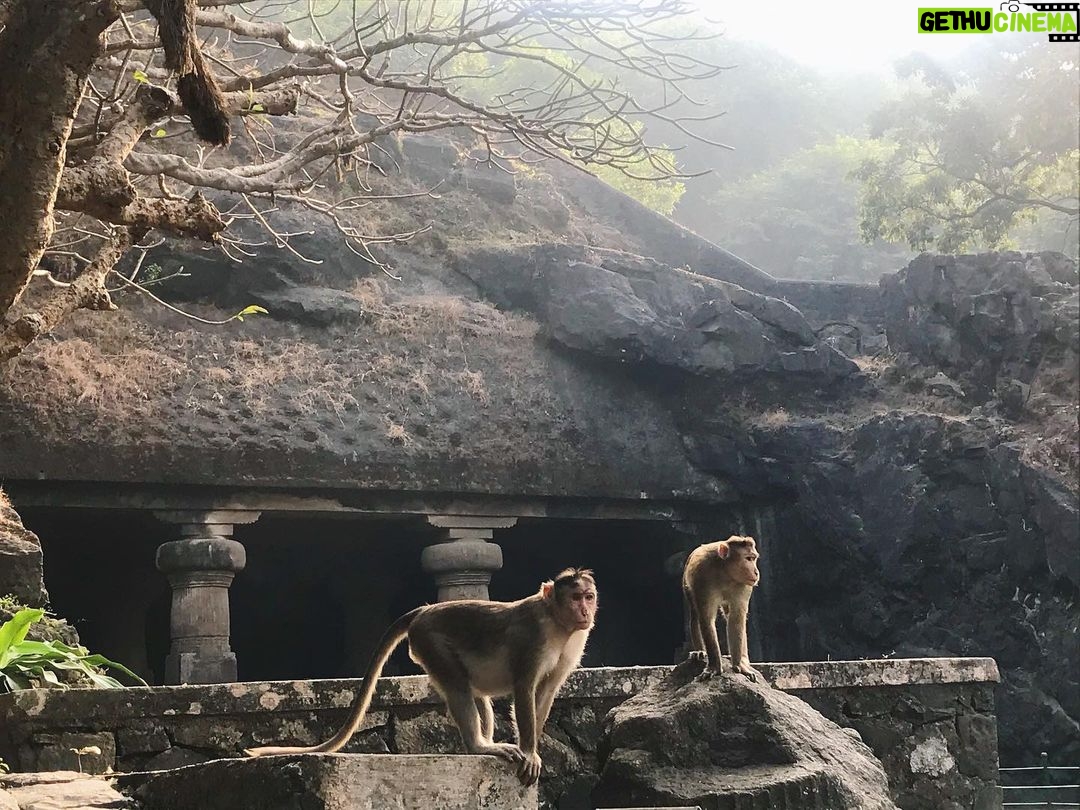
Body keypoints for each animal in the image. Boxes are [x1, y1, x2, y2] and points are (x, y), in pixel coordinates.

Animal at [245, 568, 598, 787]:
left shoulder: (574, 643)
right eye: (575, 597)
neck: (558, 623)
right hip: (431, 642)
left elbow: (546, 693)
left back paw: (485, 743)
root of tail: (423, 611)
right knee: (458, 688)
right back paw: (479, 747)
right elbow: (524, 687)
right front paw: (530, 751)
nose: (585, 612)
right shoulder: (533, 637)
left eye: (589, 596)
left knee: (474, 693)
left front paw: (532, 748)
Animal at [682, 535, 762, 680]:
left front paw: (740, 665)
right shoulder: (702, 577)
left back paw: (743, 659)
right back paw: (700, 651)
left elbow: (736, 619)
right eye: (748, 558)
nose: (756, 572)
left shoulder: (744, 586)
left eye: (754, 558)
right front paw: (714, 667)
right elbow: (706, 619)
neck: (726, 572)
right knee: (695, 613)